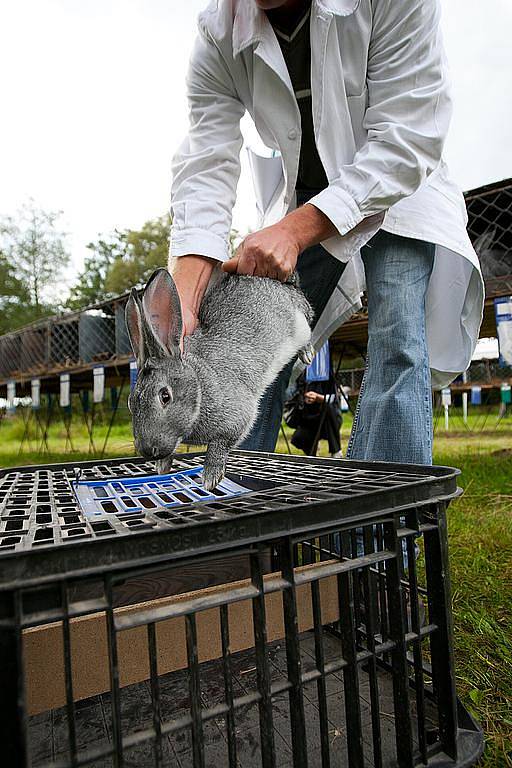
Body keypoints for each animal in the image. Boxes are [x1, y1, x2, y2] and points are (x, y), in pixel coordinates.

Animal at [126, 268, 314, 488]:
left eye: (165, 396)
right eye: (130, 402)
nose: (148, 451)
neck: (199, 386)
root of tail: (286, 285)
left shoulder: (237, 417)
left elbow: (220, 445)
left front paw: (210, 478)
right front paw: (162, 466)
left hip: (300, 323)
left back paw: (307, 353)